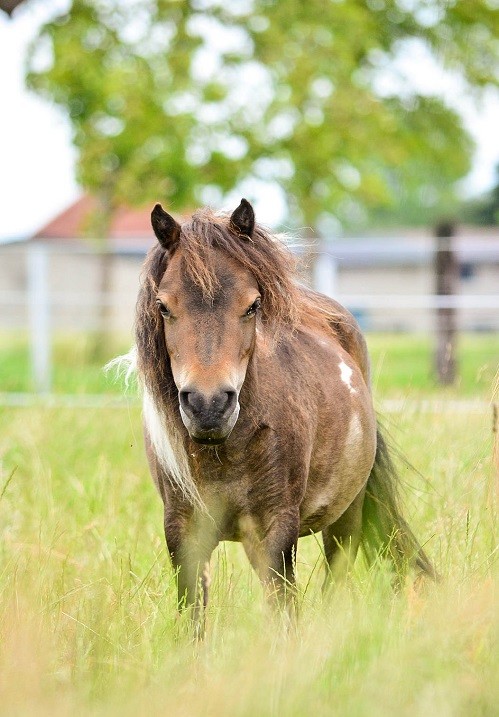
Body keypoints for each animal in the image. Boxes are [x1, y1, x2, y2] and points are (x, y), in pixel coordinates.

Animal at [128, 197, 434, 632]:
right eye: (163, 306)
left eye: (253, 305)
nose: (208, 406)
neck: (225, 450)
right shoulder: (183, 532)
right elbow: (193, 618)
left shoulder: (276, 528)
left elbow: (284, 613)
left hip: (346, 515)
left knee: (335, 579)